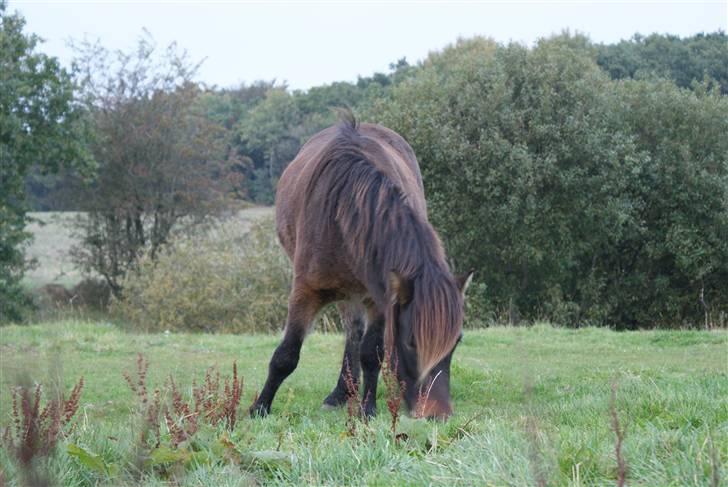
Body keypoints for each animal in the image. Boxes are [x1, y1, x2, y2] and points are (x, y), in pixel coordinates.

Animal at [250, 112, 472, 422]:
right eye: (412, 341)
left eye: (457, 341)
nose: (437, 414)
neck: (344, 209)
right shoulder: (305, 291)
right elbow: (286, 354)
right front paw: (260, 407)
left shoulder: (379, 297)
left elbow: (371, 353)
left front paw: (368, 408)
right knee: (351, 331)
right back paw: (340, 393)